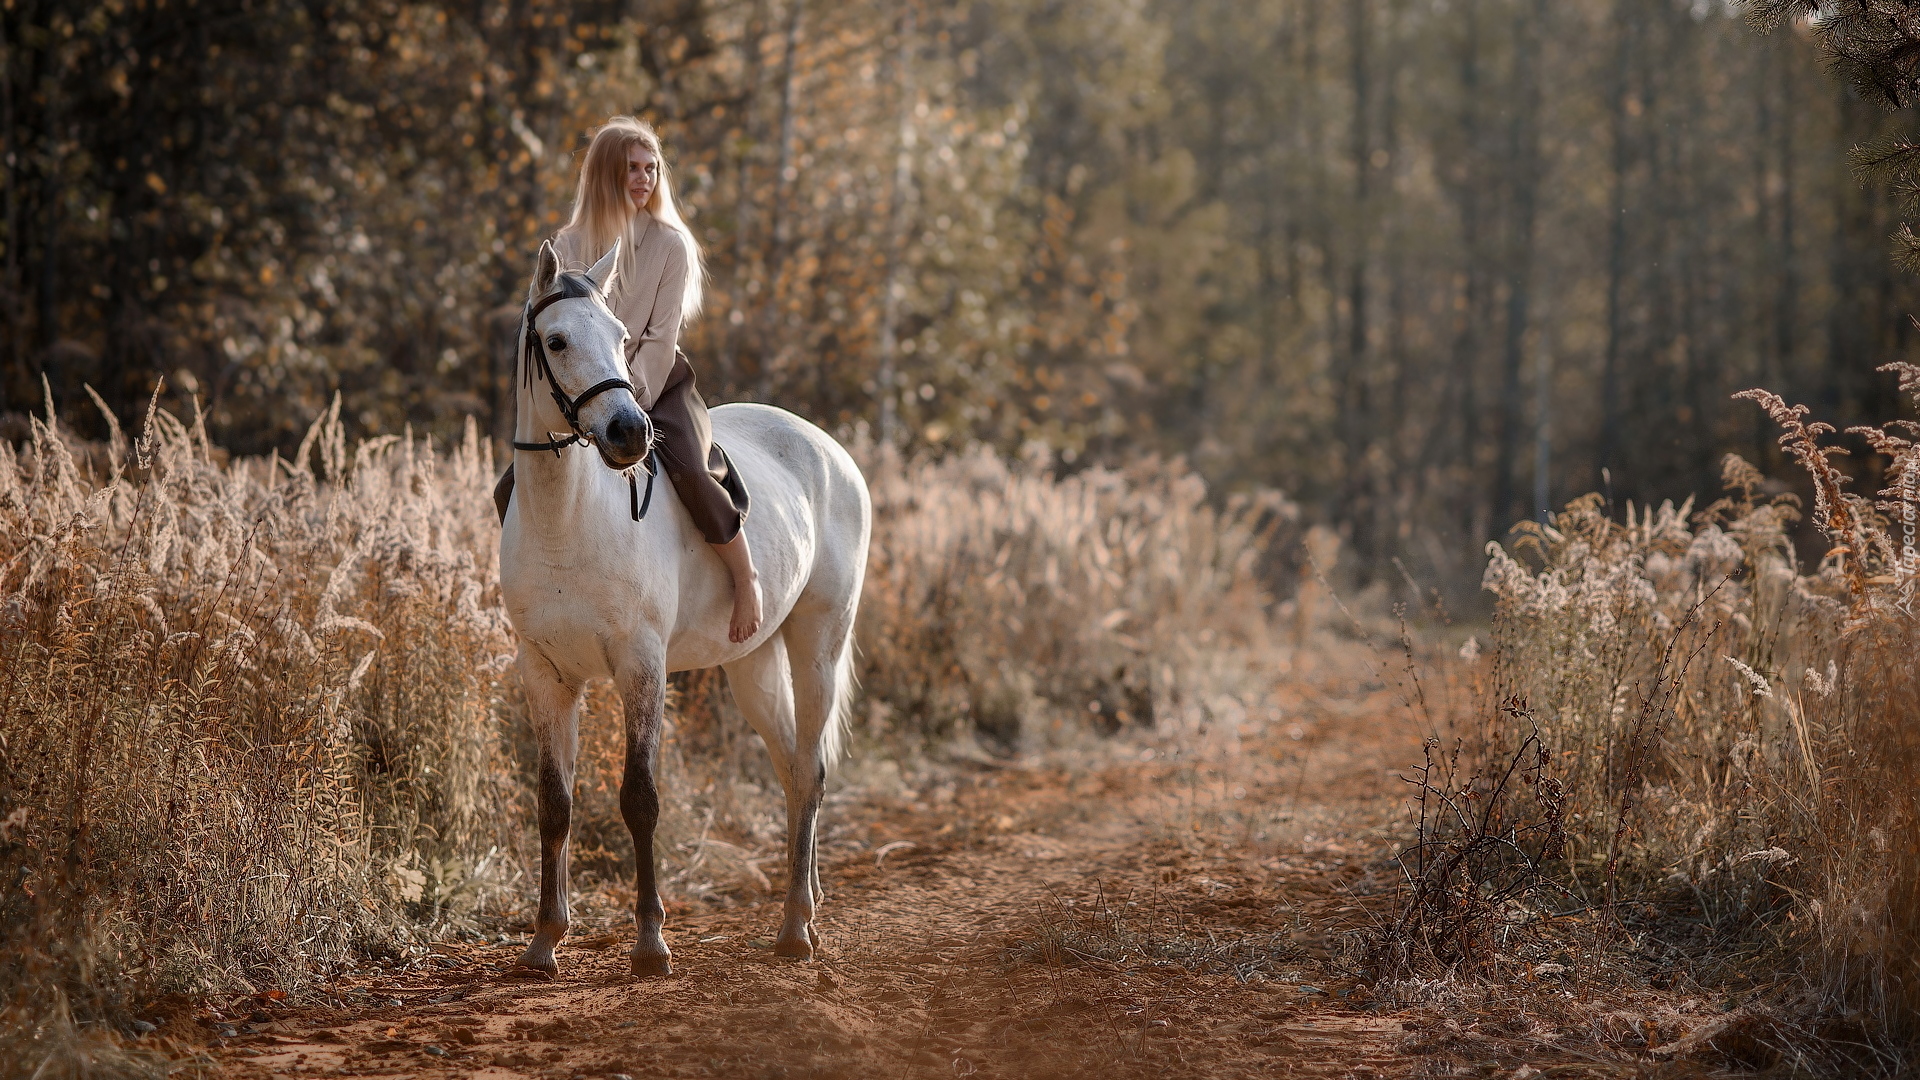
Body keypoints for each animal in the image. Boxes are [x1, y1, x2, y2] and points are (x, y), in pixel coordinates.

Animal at [495, 237, 871, 976]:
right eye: (555, 340)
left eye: (620, 336)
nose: (628, 433)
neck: (568, 519)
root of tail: (832, 449)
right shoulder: (545, 673)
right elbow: (554, 802)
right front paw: (545, 939)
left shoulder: (641, 664)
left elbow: (639, 798)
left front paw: (650, 941)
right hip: (752, 664)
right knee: (792, 768)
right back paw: (806, 904)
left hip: (819, 643)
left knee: (811, 768)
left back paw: (794, 928)